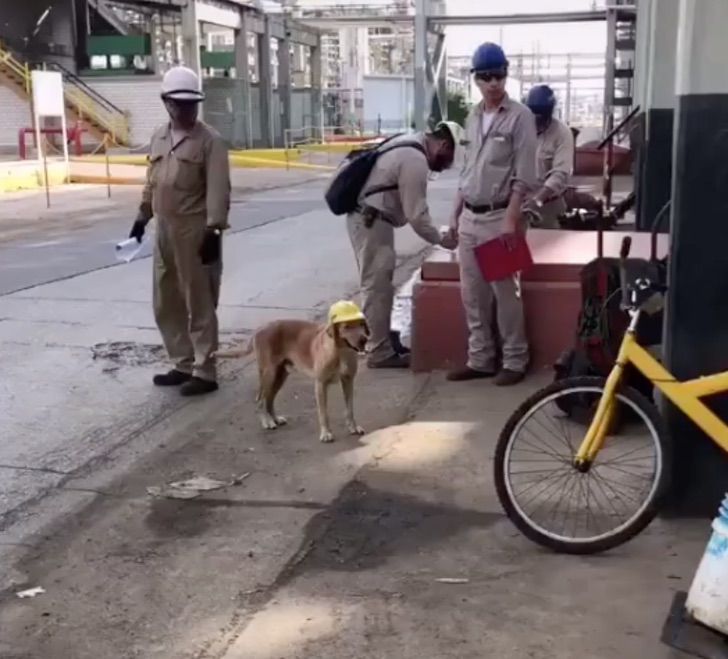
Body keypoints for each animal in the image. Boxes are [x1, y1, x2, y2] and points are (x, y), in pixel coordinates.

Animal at [213, 300, 366, 444]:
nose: (364, 340)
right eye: (346, 327)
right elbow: (323, 413)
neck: (341, 351)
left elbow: (350, 408)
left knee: (269, 399)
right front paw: (326, 433)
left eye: (361, 324)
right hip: (269, 374)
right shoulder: (320, 384)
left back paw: (274, 419)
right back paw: (267, 422)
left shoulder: (348, 381)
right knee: (260, 399)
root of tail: (260, 328)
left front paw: (353, 427)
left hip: (280, 375)